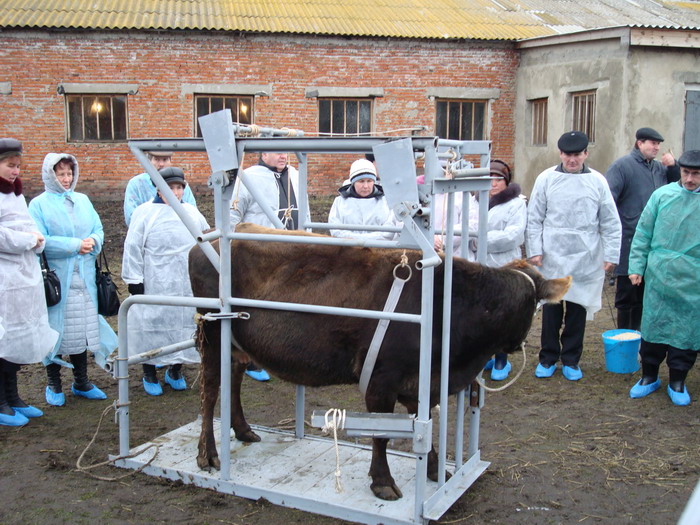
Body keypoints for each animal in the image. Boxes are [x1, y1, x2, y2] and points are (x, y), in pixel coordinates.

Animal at [189, 221, 572, 500]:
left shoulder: (420, 383)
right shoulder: (381, 381)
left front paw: (435, 469)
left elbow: (423, 426)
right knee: (210, 390)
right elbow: (382, 434)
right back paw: (208, 454)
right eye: (534, 306)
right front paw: (383, 481)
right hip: (211, 332)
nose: (515, 346)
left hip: (237, 342)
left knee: (234, 377)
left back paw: (243, 429)